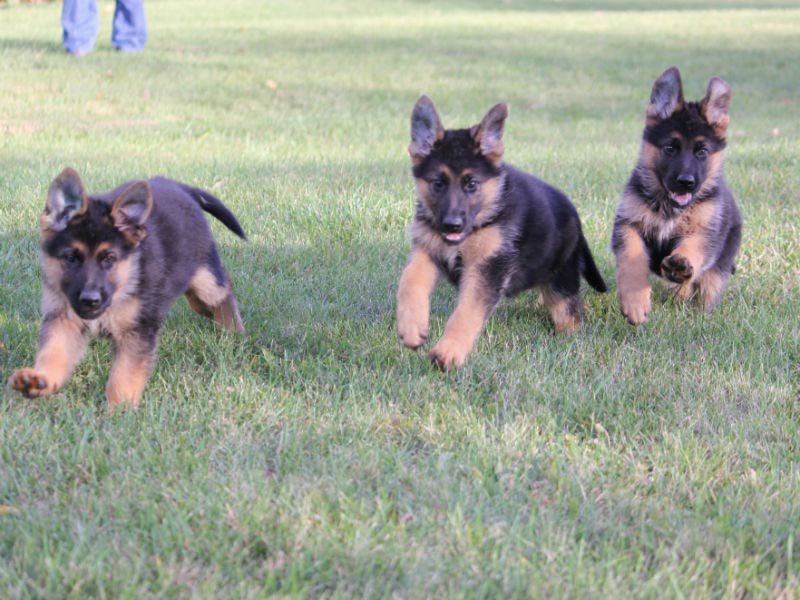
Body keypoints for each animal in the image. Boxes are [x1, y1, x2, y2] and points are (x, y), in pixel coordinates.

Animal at [8, 166, 247, 406]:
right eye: (70, 258)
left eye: (109, 258)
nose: (90, 300)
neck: (124, 285)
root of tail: (178, 187)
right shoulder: (63, 320)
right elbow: (54, 354)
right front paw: (40, 380)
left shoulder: (137, 330)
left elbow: (124, 374)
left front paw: (120, 408)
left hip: (206, 280)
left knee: (223, 288)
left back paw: (233, 329)